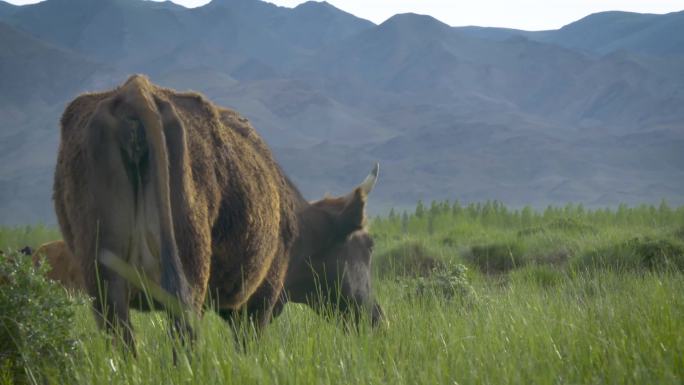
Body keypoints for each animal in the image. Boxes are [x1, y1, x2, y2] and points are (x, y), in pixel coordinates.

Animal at [52, 75, 382, 348]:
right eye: (369, 245)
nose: (378, 317)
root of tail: (136, 90)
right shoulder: (257, 303)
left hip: (105, 281)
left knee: (122, 339)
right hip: (189, 269)